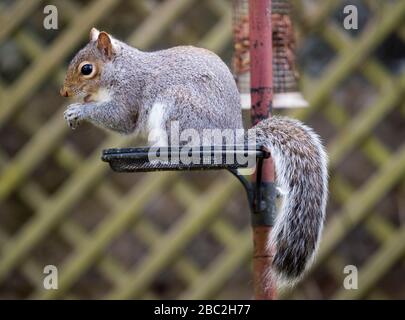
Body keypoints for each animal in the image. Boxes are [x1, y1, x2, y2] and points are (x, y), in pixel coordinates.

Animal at [60, 28, 326, 288]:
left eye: (87, 69)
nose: (64, 92)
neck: (121, 70)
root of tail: (232, 140)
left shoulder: (130, 95)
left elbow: (120, 119)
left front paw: (79, 111)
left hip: (178, 108)